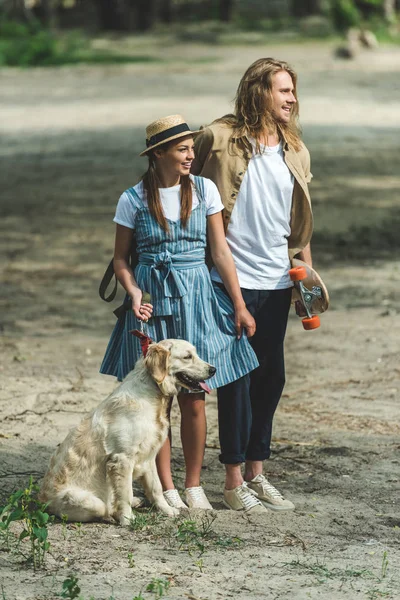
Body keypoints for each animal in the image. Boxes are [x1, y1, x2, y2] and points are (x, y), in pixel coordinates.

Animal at [38, 340, 216, 528]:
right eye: (187, 357)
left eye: (196, 354)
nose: (213, 369)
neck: (154, 395)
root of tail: (42, 502)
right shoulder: (122, 459)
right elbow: (124, 495)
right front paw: (127, 518)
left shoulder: (149, 457)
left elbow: (156, 488)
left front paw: (167, 510)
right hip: (87, 500)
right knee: (104, 508)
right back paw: (113, 513)